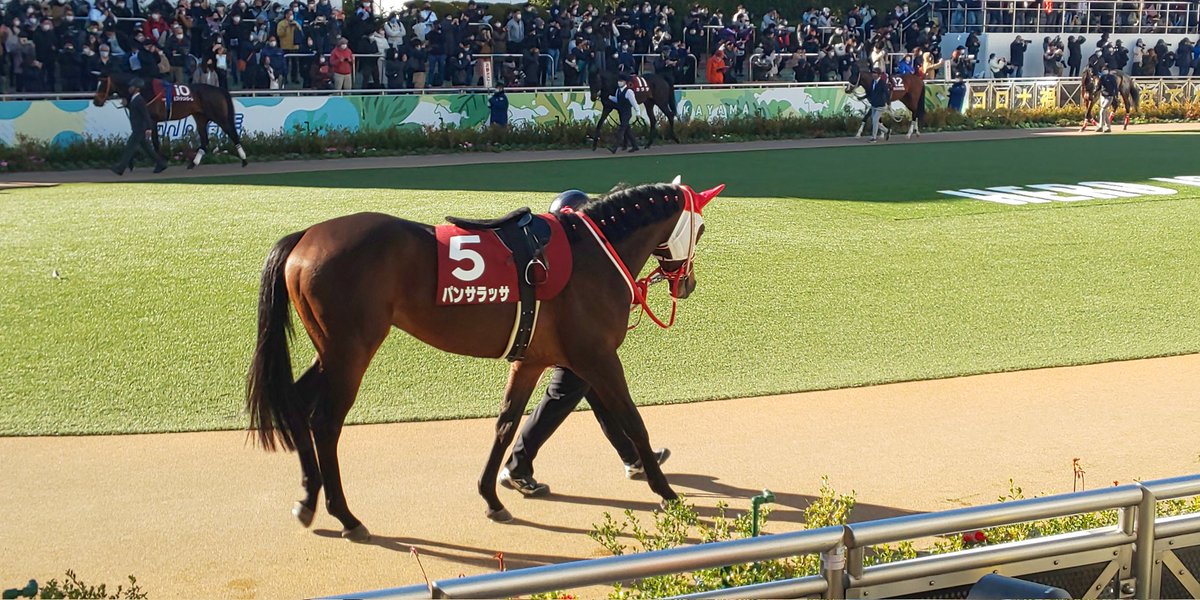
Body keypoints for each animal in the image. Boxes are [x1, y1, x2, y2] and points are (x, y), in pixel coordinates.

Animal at [93, 72, 247, 169]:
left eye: (102, 85)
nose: (96, 101)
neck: (143, 90)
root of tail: (219, 90)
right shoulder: (150, 121)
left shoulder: (152, 120)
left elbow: (154, 142)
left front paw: (161, 161)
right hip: (200, 117)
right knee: (205, 141)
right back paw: (193, 164)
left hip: (219, 116)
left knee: (232, 133)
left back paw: (244, 160)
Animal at [245, 178, 725, 541]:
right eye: (700, 231)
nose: (688, 285)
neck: (593, 252)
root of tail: (305, 237)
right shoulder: (599, 358)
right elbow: (631, 420)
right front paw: (666, 491)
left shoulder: (532, 360)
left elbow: (507, 423)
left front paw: (493, 496)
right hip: (351, 351)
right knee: (325, 422)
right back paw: (345, 516)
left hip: (331, 349)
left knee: (295, 402)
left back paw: (308, 499)